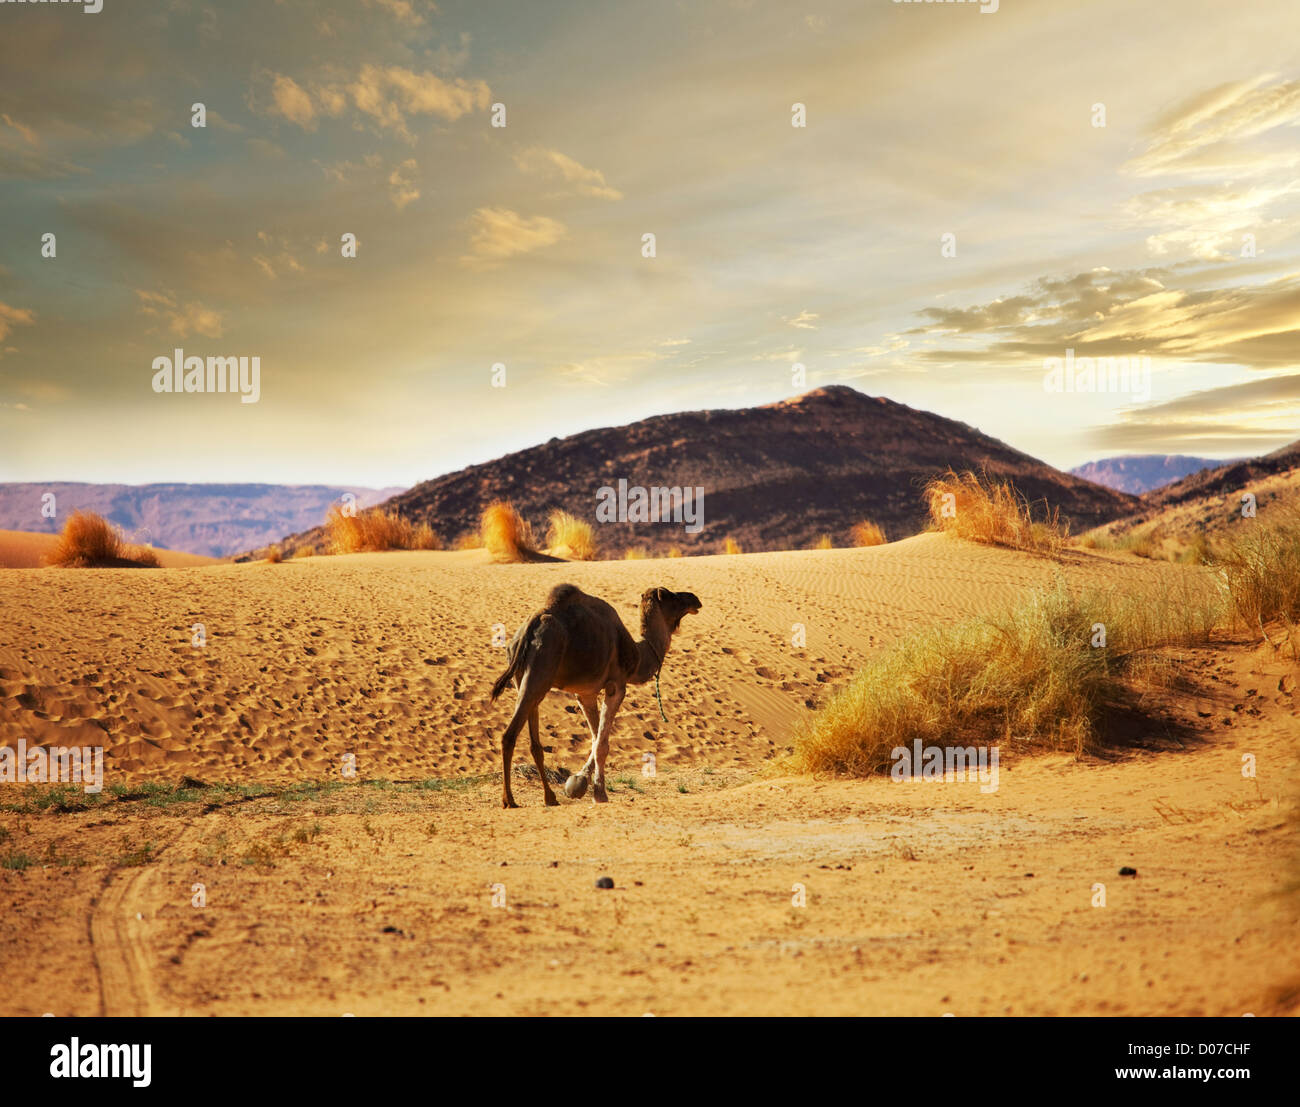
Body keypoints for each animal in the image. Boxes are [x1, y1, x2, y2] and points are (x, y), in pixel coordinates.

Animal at [490, 584, 702, 808]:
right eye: (672, 596)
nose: (694, 598)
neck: (637, 656)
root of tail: (530, 626)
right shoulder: (616, 686)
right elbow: (602, 743)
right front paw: (599, 793)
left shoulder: (585, 693)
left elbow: (595, 737)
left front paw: (578, 783)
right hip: (540, 670)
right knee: (509, 735)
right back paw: (509, 800)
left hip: (522, 676)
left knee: (534, 740)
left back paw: (550, 797)